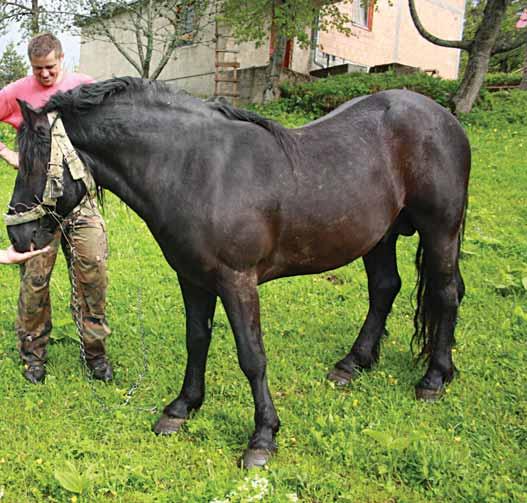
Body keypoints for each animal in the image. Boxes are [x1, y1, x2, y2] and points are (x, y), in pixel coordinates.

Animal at [7, 78, 470, 468]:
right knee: (385, 288)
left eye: (34, 164)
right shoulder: (193, 278)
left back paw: (434, 378)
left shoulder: (237, 281)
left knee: (446, 293)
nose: (18, 234)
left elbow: (252, 356)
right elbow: (197, 341)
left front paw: (263, 437)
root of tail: (444, 119)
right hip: (380, 237)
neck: (195, 169)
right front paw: (181, 407)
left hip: (440, 229)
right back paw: (353, 363)